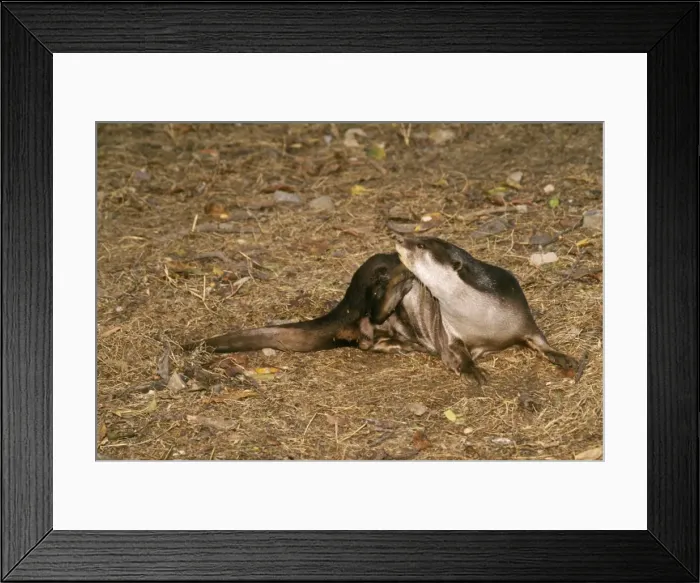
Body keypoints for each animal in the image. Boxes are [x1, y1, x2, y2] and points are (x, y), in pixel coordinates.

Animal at [183, 236, 579, 384]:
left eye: (421, 246)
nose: (401, 240)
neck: (481, 317)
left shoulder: (520, 314)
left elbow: (541, 341)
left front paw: (566, 359)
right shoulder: (449, 334)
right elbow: (456, 354)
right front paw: (472, 371)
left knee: (367, 337)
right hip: (369, 282)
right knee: (369, 322)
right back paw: (399, 284)